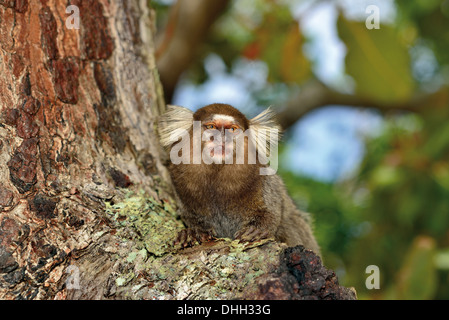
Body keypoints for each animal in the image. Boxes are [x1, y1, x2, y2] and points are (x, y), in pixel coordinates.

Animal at [158, 104, 318, 254]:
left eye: (232, 129)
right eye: (211, 127)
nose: (222, 138)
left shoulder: (263, 178)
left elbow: (273, 212)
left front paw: (256, 230)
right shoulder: (179, 182)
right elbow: (188, 215)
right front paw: (193, 232)